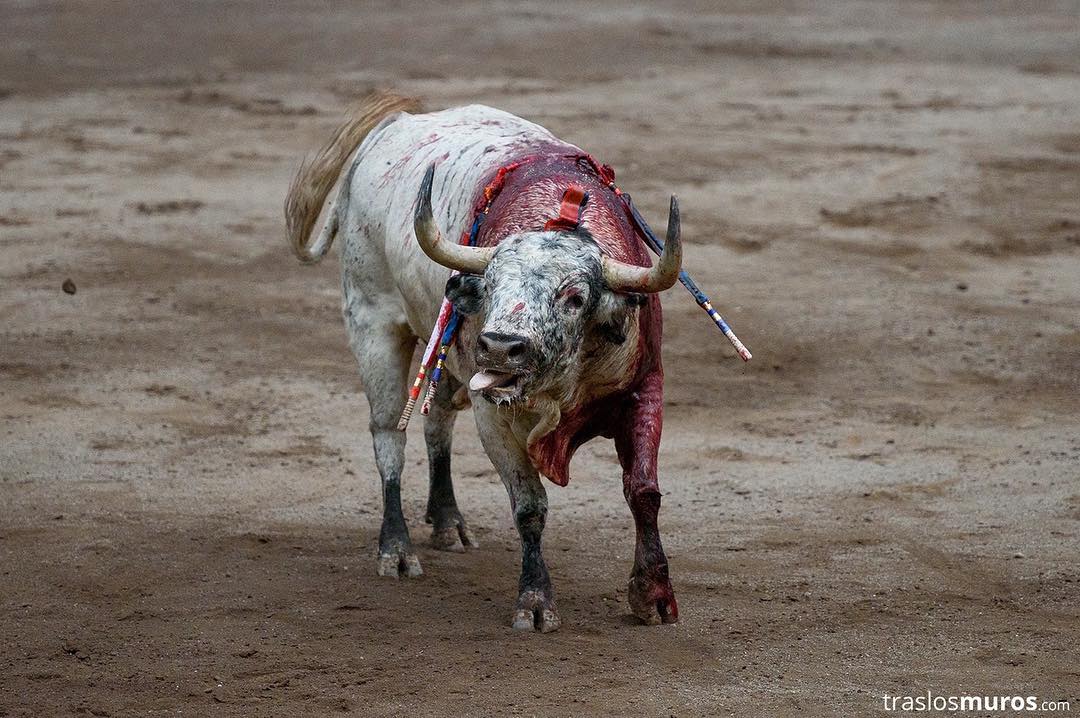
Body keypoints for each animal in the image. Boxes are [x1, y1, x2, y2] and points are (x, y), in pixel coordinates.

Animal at [287, 92, 686, 630]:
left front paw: (654, 595)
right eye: (491, 286)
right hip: (372, 324)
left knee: (437, 424)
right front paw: (535, 601)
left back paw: (448, 522)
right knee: (389, 435)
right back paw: (397, 550)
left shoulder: (645, 387)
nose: (499, 345)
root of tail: (389, 130)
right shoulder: (492, 413)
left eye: (576, 297)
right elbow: (530, 506)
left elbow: (643, 491)